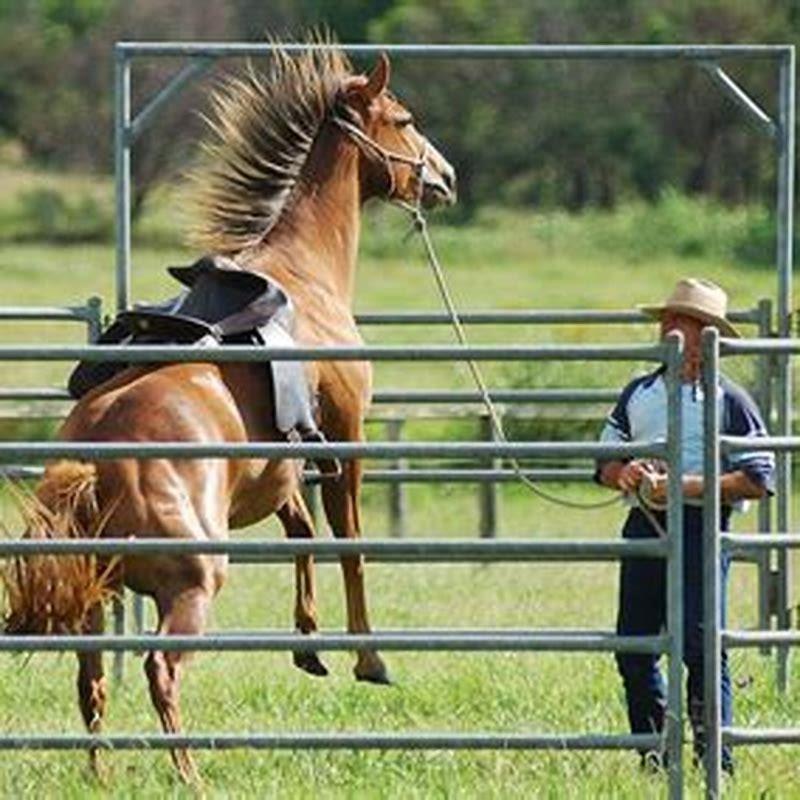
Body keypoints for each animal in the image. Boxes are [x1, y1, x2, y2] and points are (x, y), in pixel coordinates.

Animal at [4, 43, 456, 782]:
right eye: (405, 119)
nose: (444, 176)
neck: (304, 272)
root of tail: (92, 466)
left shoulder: (281, 464)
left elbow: (301, 529)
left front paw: (308, 642)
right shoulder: (345, 437)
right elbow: (349, 542)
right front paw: (369, 658)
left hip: (96, 597)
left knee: (91, 681)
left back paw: (102, 774)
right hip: (192, 585)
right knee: (158, 671)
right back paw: (188, 775)